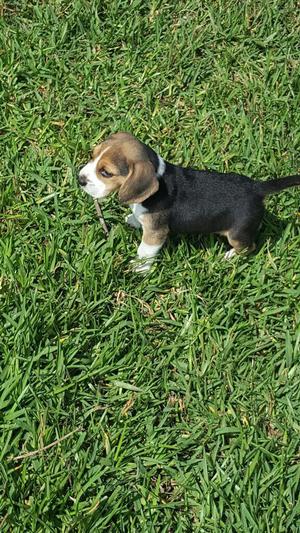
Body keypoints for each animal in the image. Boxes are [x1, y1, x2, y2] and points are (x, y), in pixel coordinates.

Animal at [78, 131, 300, 272]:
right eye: (92, 155)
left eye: (106, 173)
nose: (80, 179)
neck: (158, 175)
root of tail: (257, 187)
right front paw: (134, 219)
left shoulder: (156, 234)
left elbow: (145, 251)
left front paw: (139, 268)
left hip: (238, 234)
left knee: (249, 247)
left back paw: (229, 256)